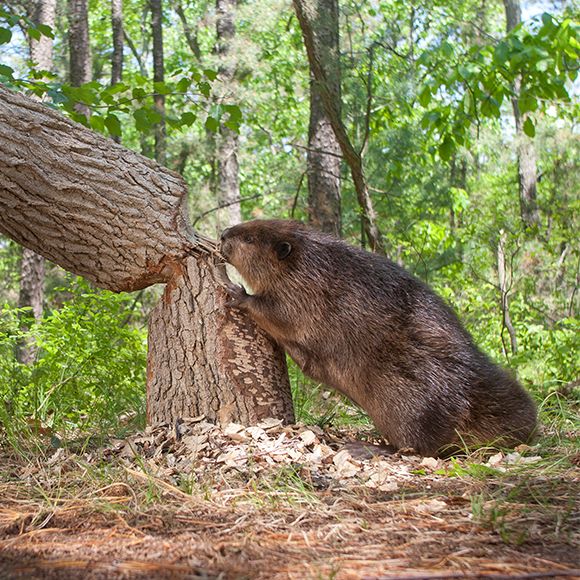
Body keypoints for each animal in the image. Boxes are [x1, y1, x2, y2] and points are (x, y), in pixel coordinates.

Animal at [220, 220, 536, 456]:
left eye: (249, 237)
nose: (223, 234)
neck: (308, 261)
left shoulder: (305, 293)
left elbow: (278, 313)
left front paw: (237, 293)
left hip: (406, 402)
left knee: (418, 447)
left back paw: (364, 447)